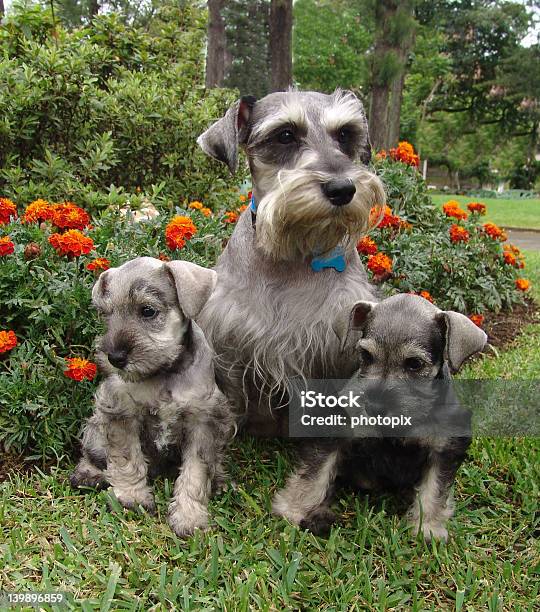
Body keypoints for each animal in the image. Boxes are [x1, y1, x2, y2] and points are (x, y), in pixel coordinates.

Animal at [69, 256, 234, 536]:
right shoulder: (121, 411)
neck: (165, 372)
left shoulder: (202, 420)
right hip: (97, 424)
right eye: (106, 314)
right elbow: (126, 458)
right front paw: (131, 497)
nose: (114, 358)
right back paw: (88, 474)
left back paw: (219, 479)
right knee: (93, 453)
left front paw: (189, 516)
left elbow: (196, 471)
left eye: (147, 311)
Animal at [196, 89, 386, 520]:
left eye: (345, 134)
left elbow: (326, 446)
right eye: (285, 135)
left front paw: (302, 503)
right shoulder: (228, 354)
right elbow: (220, 419)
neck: (294, 256)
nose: (342, 188)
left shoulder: (339, 361)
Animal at [272, 296, 488, 540]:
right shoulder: (335, 433)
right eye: (366, 355)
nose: (373, 407)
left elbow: (436, 488)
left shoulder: (445, 448)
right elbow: (315, 472)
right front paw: (293, 509)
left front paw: (428, 528)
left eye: (415, 364)